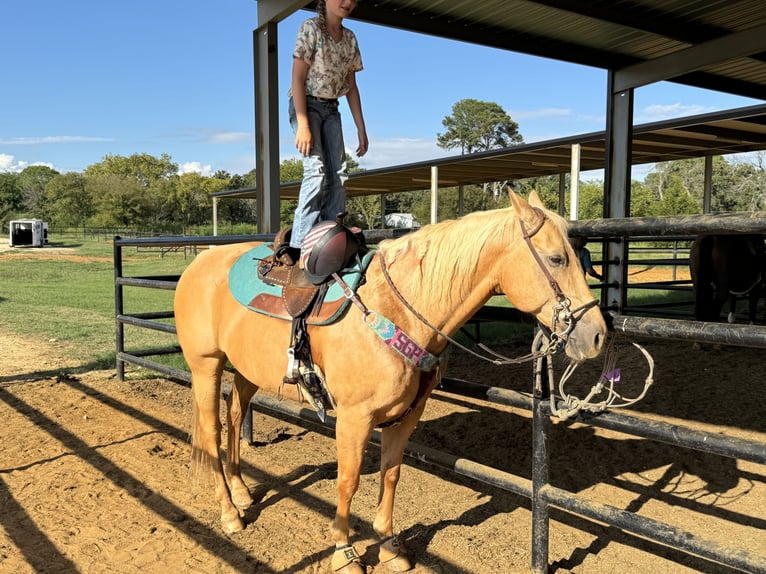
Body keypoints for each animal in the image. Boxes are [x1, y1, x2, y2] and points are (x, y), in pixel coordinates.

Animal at [172, 191, 608, 572]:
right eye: (556, 258)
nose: (598, 335)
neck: (397, 310)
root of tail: (199, 263)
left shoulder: (406, 416)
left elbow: (391, 475)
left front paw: (389, 548)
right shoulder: (354, 419)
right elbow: (348, 482)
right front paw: (344, 554)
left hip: (246, 370)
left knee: (234, 415)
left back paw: (242, 492)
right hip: (206, 366)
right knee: (212, 430)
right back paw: (230, 513)